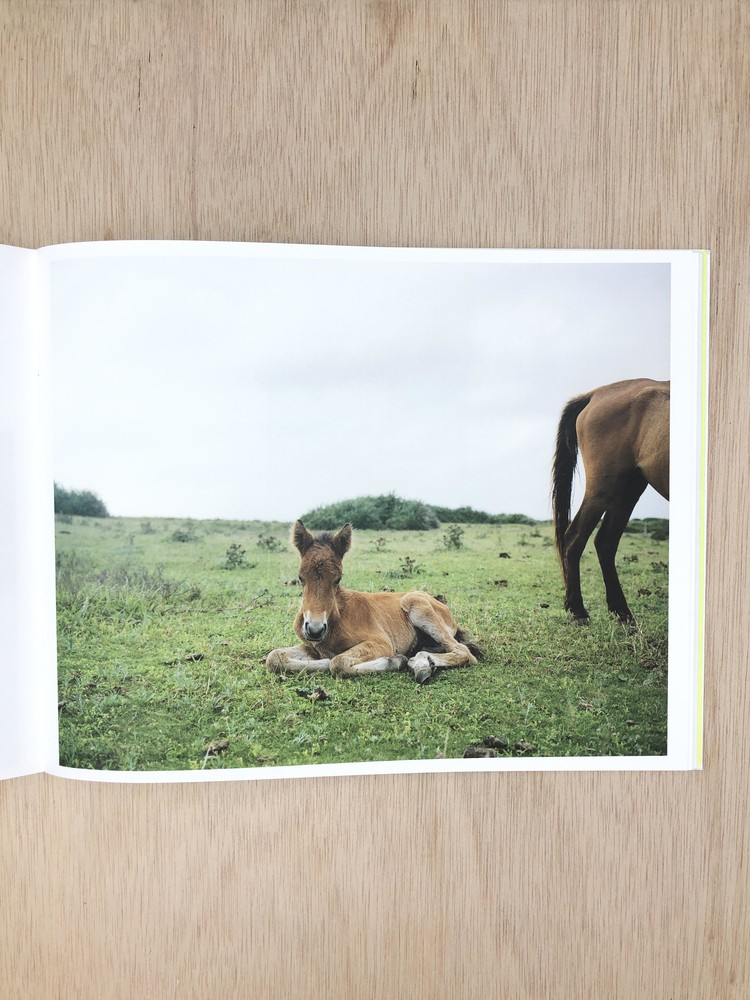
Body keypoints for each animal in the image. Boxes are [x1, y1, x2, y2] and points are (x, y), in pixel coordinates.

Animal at [265, 520, 480, 683]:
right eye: (301, 578)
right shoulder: (311, 647)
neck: (338, 617)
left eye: (338, 579)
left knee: (463, 652)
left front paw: (395, 661)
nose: (315, 630)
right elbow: (274, 657)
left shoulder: (381, 643)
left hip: (415, 603)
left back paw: (419, 664)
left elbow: (338, 662)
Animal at [551, 378, 670, 623]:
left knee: (605, 540)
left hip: (629, 487)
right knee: (575, 536)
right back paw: (579, 611)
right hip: (603, 487)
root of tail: (595, 394)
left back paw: (622, 613)